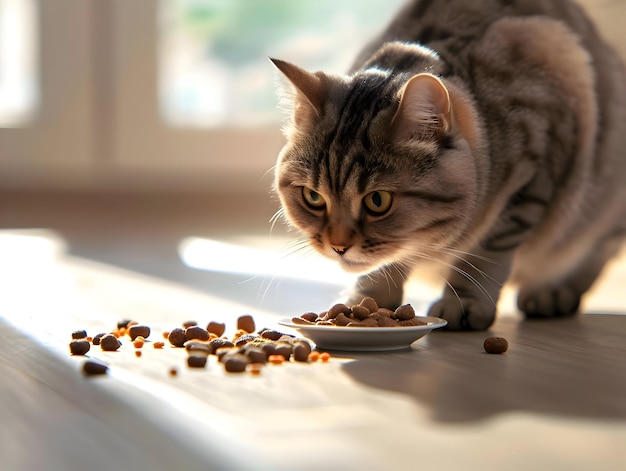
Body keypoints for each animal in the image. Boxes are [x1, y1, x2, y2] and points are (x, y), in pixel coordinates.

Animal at [270, 0, 624, 332]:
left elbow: (486, 253)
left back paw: (554, 291)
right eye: (313, 197)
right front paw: (368, 301)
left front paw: (464, 302)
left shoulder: (538, 161)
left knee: (596, 246)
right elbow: (386, 262)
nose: (338, 247)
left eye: (377, 201)